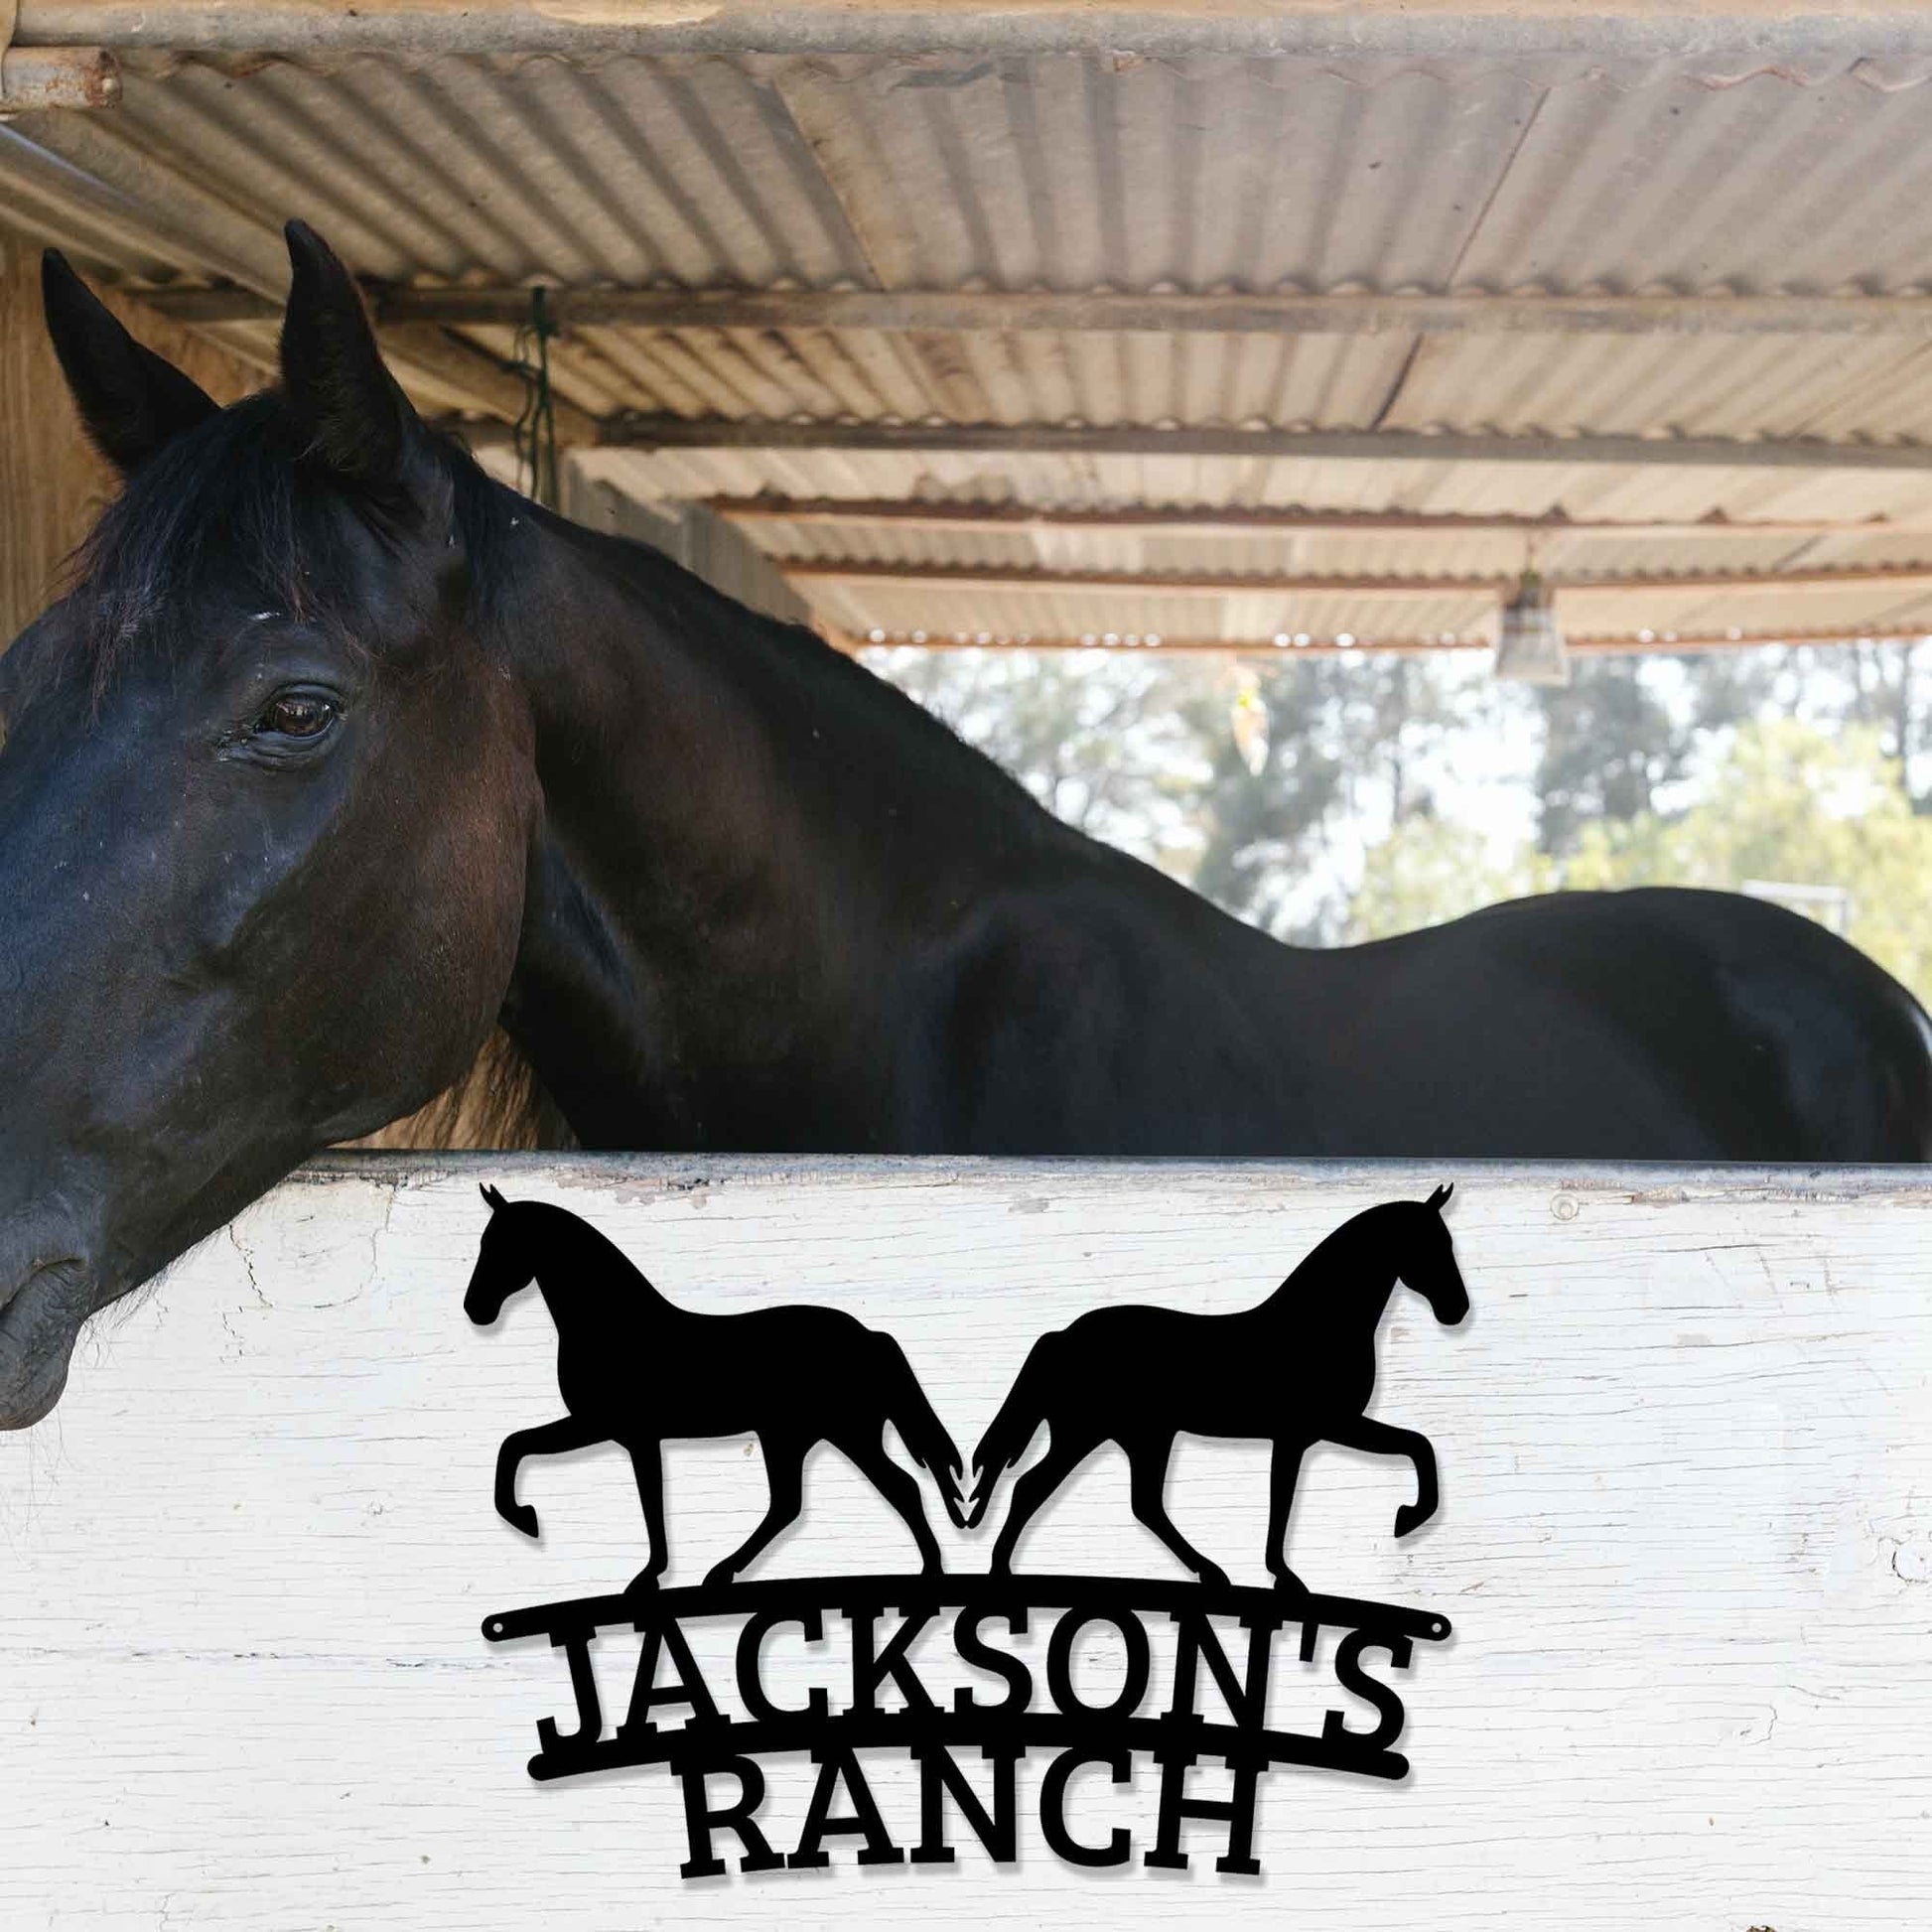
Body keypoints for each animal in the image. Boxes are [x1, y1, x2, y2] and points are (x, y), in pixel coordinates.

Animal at [463, 1186, 967, 1586]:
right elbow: (519, 1446)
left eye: (501, 1244)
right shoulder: (615, 1431)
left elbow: (640, 1501)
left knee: (893, 1489)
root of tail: (867, 1336)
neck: (616, 1326)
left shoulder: (616, 1429)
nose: (475, 1309)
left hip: (837, 1434)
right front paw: (531, 1522)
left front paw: (533, 1524)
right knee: (796, 1503)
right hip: (801, 1436)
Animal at [964, 1185, 1469, 1595]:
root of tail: (1064, 1336)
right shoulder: (1319, 1428)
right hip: (1096, 1434)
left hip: (1131, 1436)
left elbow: (1406, 1449)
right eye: (1432, 1245)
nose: (1458, 1309)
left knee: (1135, 1502)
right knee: (1039, 1489)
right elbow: (1406, 1451)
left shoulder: (1310, 1433)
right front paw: (1403, 1520)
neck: (1318, 1325)